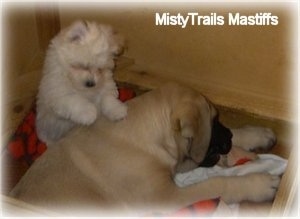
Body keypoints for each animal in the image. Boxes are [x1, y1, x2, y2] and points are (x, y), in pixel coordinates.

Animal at [11, 81, 278, 216]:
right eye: (212, 121)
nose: (229, 138)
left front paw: (254, 134)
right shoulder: (165, 197)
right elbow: (216, 183)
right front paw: (258, 184)